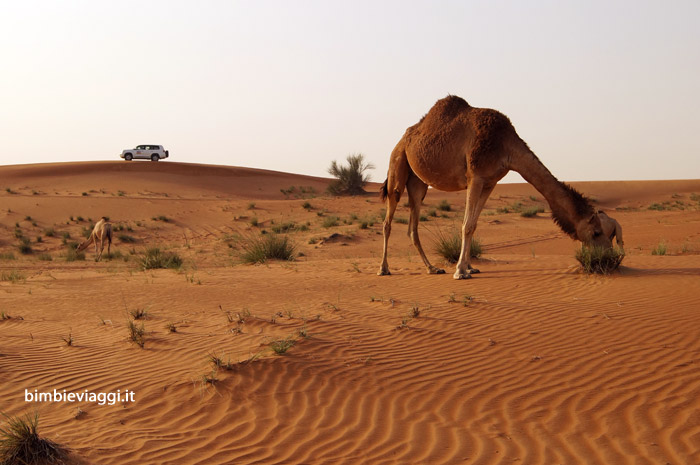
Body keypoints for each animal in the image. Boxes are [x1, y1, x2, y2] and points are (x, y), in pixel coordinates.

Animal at [378, 95, 616, 279]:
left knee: (413, 226)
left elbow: (474, 224)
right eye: (596, 232)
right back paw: (384, 269)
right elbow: (466, 225)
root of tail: (404, 138)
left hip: (418, 183)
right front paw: (460, 271)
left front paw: (470, 268)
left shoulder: (490, 182)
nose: (609, 259)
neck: (504, 145)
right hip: (397, 164)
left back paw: (432, 268)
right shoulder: (475, 176)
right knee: (388, 218)